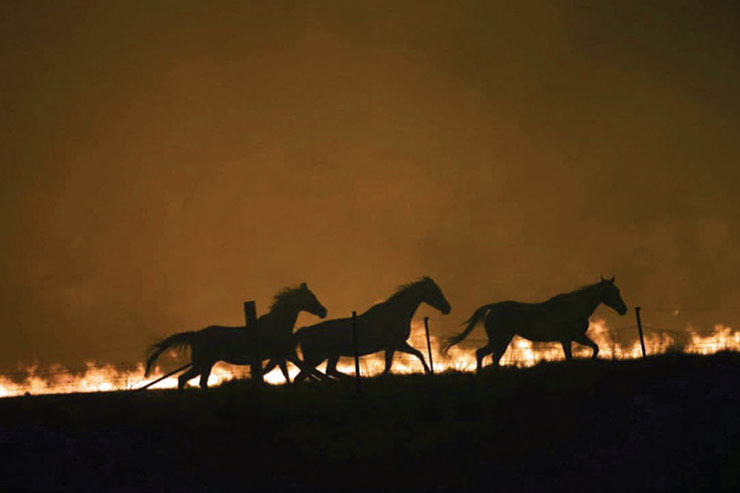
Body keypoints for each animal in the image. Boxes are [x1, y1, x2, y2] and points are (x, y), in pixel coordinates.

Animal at [145, 280, 326, 388]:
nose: (323, 311)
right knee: (187, 379)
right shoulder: (284, 355)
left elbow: (285, 373)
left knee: (194, 381)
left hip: (205, 364)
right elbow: (296, 371)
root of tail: (195, 335)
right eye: (310, 297)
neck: (276, 325)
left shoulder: (280, 356)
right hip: (202, 363)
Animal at [274, 276, 450, 380]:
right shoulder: (395, 344)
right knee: (305, 376)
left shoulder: (396, 345)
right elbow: (395, 363)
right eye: (436, 291)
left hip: (330, 356)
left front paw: (428, 370)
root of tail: (304, 331)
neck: (395, 312)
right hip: (316, 357)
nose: (447, 308)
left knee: (326, 372)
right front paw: (428, 371)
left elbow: (416, 354)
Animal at [442, 274, 628, 370]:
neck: (573, 306)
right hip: (500, 339)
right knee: (482, 354)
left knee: (492, 357)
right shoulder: (571, 337)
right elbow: (586, 352)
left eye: (618, 290)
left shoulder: (571, 338)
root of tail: (493, 307)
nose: (623, 309)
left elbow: (589, 350)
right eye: (612, 291)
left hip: (502, 340)